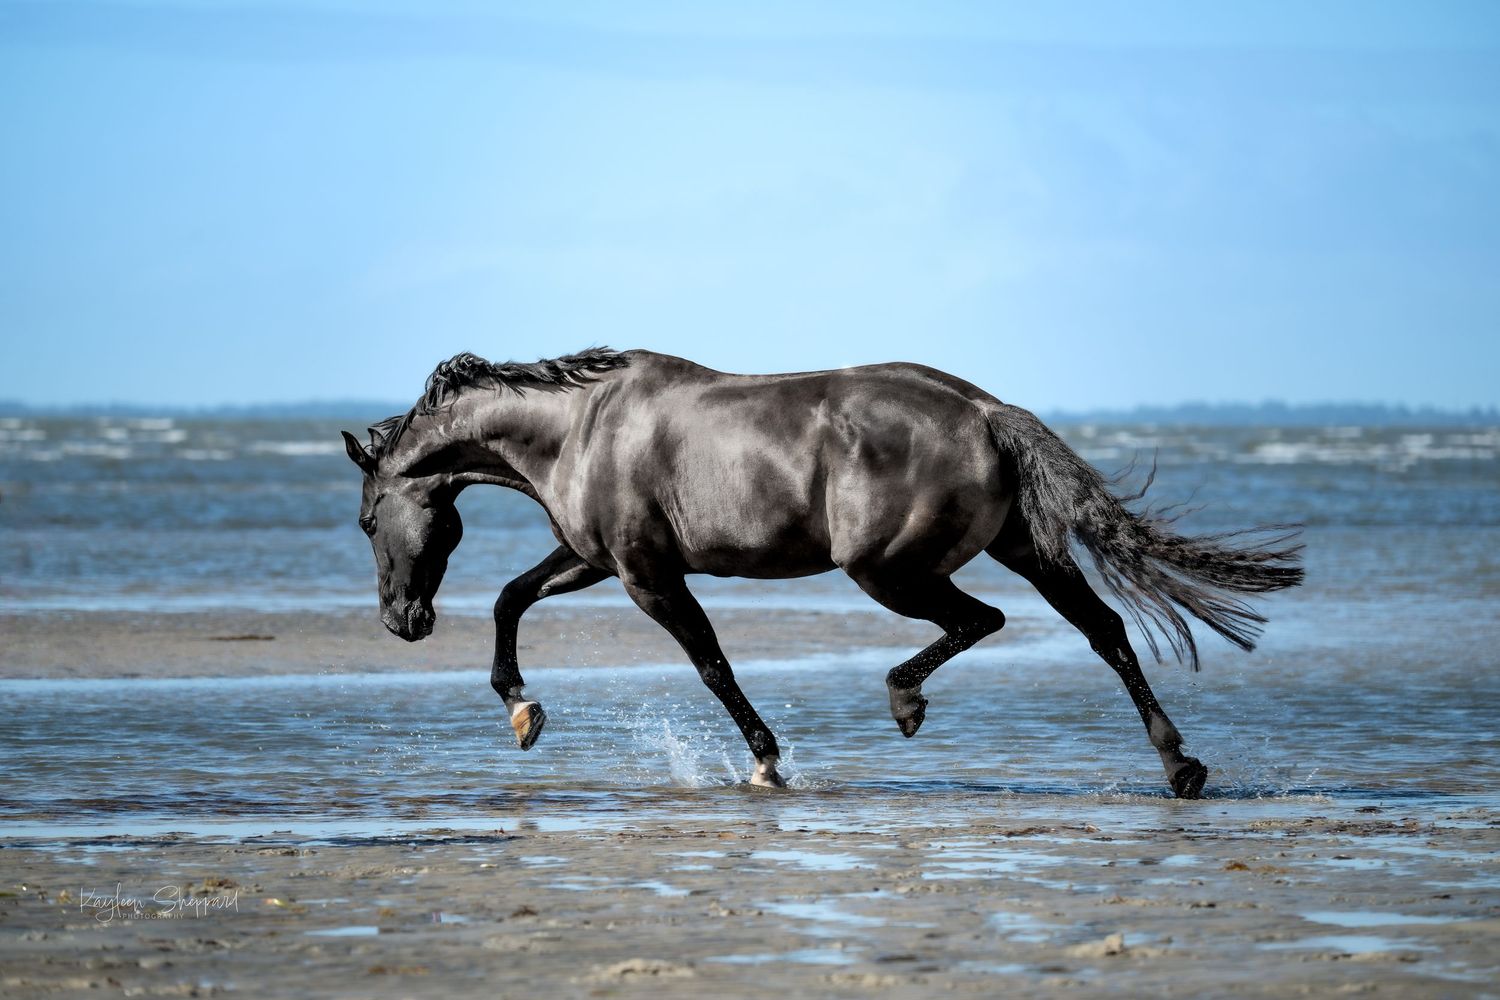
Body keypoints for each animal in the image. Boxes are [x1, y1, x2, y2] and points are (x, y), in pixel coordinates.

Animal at [342, 348, 1302, 799]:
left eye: (366, 520)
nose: (400, 621)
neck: (580, 426)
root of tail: (985, 410)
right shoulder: (593, 559)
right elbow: (511, 597)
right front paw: (522, 711)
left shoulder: (645, 574)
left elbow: (711, 663)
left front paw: (768, 765)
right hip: (1021, 549)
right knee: (1103, 631)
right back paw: (1180, 767)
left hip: (887, 570)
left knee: (979, 622)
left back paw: (906, 701)